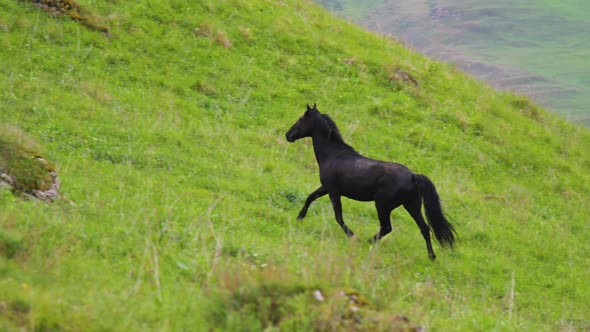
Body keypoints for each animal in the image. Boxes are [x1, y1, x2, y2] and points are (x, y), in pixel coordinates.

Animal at [286, 104, 458, 260]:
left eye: (301, 119)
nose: (288, 135)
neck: (333, 155)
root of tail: (413, 176)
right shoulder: (326, 187)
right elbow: (310, 197)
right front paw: (299, 218)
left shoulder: (333, 191)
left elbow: (338, 217)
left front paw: (352, 236)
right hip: (411, 205)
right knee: (424, 228)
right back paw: (431, 256)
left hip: (382, 205)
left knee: (387, 227)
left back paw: (368, 241)